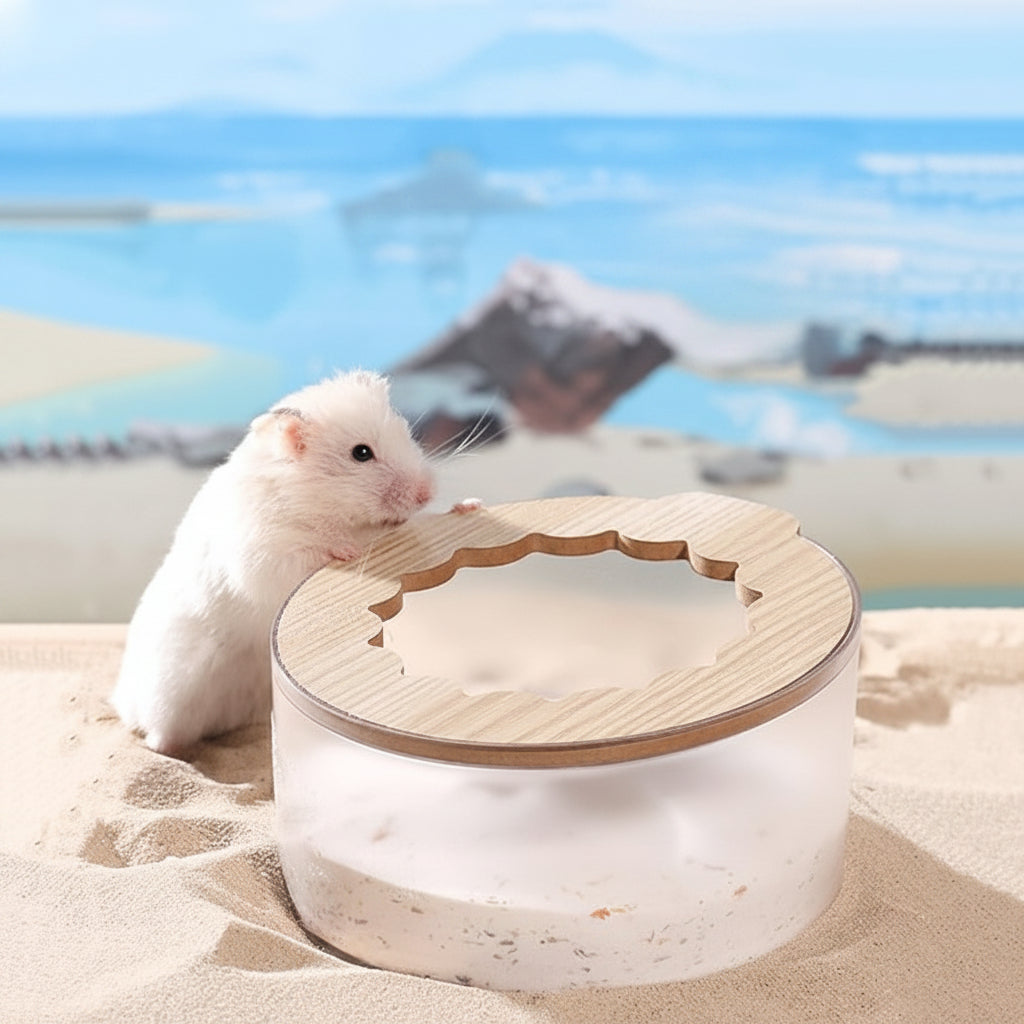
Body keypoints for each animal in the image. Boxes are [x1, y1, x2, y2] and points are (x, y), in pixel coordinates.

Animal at [111, 369, 438, 757]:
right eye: (361, 453)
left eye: (406, 431)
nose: (427, 493)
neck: (310, 496)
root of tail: (123, 699)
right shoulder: (265, 554)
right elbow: (312, 552)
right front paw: (347, 551)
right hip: (171, 693)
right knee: (158, 736)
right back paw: (162, 748)